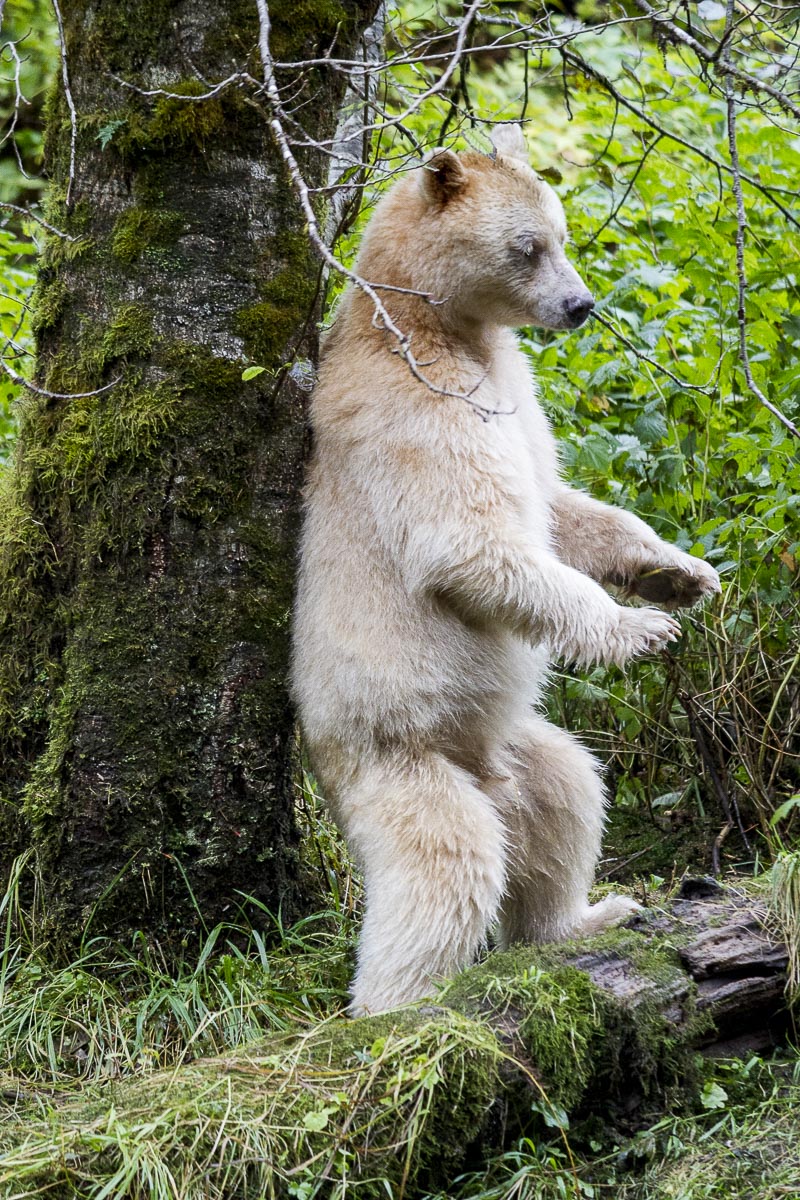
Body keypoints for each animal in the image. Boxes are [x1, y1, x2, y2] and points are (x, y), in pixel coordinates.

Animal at [291, 124, 720, 1016]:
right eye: (529, 247)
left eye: (562, 232)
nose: (580, 305)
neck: (430, 320)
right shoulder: (418, 406)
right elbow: (475, 542)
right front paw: (639, 628)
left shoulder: (515, 394)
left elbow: (558, 506)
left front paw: (681, 575)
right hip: (392, 746)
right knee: (445, 861)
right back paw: (393, 1006)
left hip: (512, 744)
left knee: (569, 794)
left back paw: (588, 914)